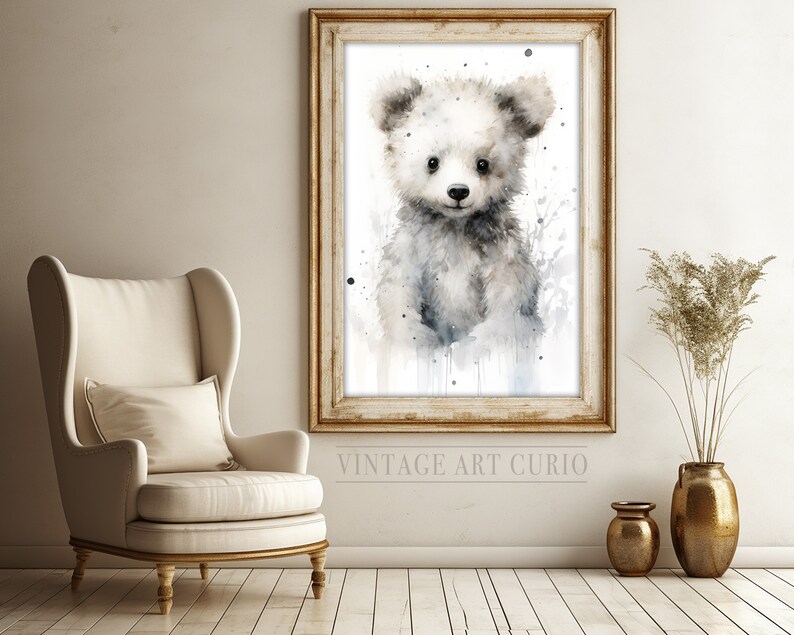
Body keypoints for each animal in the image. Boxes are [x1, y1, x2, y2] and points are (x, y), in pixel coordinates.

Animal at [371, 74, 555, 353]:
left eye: (483, 164)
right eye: (432, 162)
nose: (458, 191)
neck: (454, 226)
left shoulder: (499, 251)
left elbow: (510, 292)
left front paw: (481, 344)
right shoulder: (415, 247)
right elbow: (399, 289)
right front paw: (416, 341)